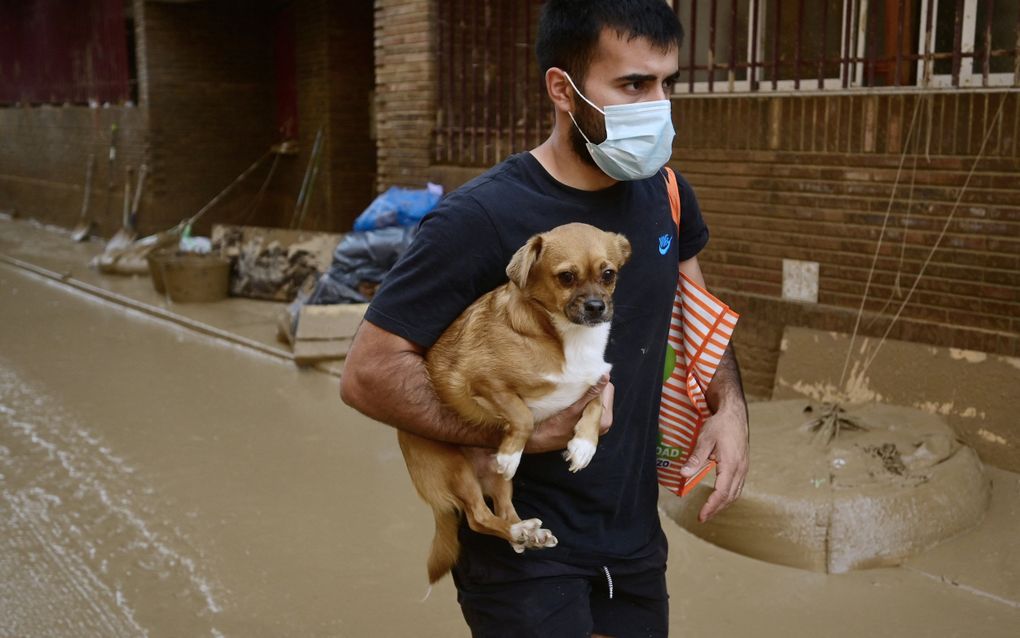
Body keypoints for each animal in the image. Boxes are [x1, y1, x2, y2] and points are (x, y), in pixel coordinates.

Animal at [395, 222, 628, 583]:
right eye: (566, 277)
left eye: (608, 274)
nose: (595, 306)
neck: (566, 337)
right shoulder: (481, 382)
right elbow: (522, 415)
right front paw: (512, 450)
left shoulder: (598, 378)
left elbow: (596, 402)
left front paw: (583, 446)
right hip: (454, 468)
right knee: (478, 516)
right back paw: (519, 527)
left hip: (499, 482)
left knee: (503, 510)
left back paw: (527, 532)